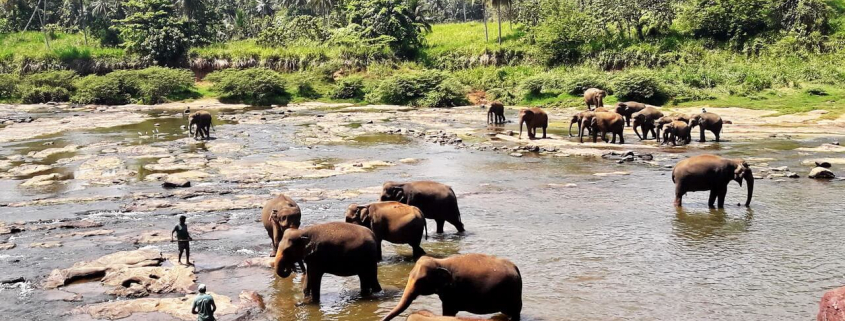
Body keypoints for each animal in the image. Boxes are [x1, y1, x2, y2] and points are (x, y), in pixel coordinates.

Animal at [380, 252, 520, 320]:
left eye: (421, 281)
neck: (440, 262)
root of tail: (516, 268)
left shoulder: (452, 292)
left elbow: (448, 312)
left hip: (512, 293)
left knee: (515, 313)